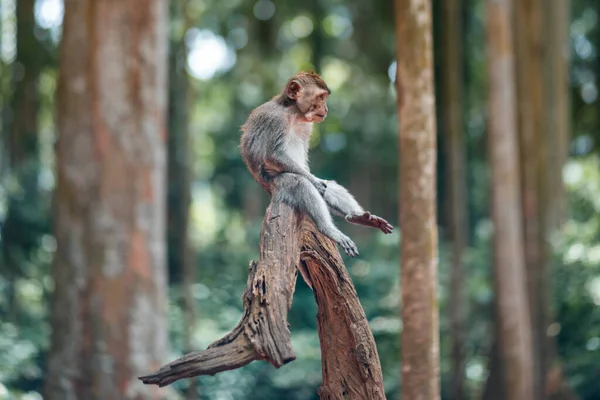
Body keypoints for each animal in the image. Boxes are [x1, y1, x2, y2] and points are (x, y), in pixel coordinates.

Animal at [240, 71, 394, 258]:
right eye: (321, 97)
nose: (326, 108)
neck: (293, 113)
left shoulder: (308, 126)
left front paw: (319, 183)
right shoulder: (275, 120)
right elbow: (273, 155)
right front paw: (314, 182)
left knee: (329, 186)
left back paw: (357, 217)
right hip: (276, 185)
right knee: (299, 183)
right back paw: (328, 228)